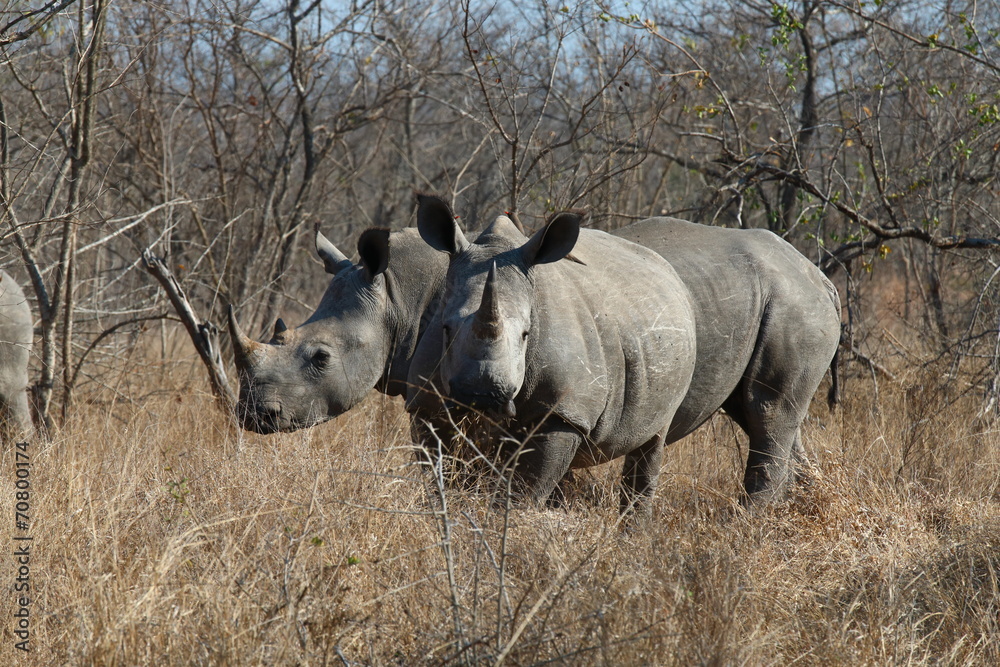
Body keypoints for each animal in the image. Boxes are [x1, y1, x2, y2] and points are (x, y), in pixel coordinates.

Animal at [411, 194, 841, 510]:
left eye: (526, 335)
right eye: (445, 329)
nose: (481, 394)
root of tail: (819, 275)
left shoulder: (562, 412)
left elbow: (522, 494)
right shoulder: (427, 404)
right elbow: (440, 477)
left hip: (792, 306)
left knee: (766, 411)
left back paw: (744, 525)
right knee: (764, 416)